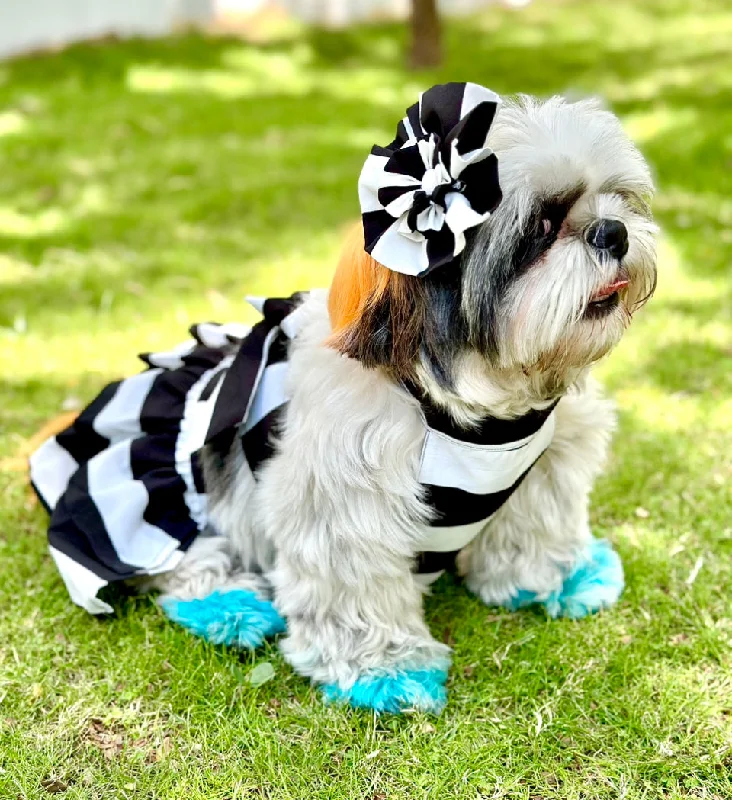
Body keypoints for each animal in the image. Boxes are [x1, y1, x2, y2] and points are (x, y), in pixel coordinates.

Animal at [30, 83, 656, 712]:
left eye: (617, 199)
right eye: (542, 226)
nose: (611, 231)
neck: (482, 404)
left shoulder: (547, 464)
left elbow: (533, 528)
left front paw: (549, 579)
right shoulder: (345, 501)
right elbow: (355, 590)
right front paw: (385, 669)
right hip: (166, 501)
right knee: (182, 564)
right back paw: (229, 607)